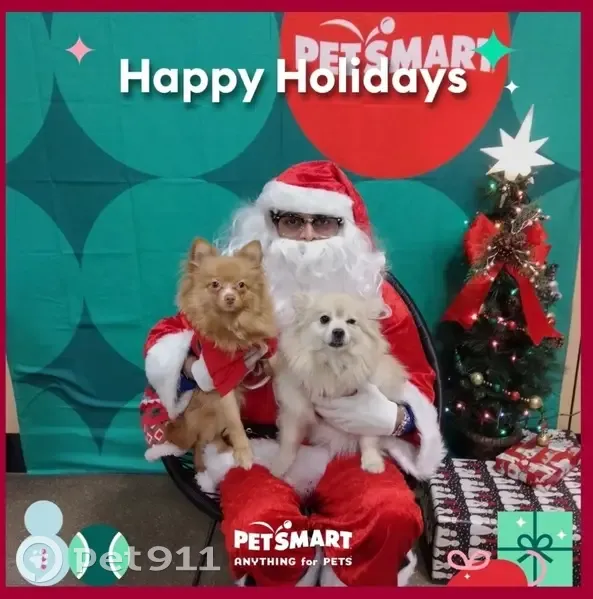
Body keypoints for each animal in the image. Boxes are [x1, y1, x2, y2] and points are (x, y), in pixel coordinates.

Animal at [165, 237, 277, 472]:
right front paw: (244, 453)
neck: (232, 327)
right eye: (215, 285)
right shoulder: (223, 382)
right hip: (211, 408)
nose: (230, 297)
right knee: (200, 443)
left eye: (241, 285)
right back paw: (205, 467)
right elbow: (235, 423)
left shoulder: (267, 354)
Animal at [270, 292, 408, 478]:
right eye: (324, 319)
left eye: (351, 321)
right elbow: (289, 441)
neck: (334, 362)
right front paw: (280, 465)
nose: (338, 331)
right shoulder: (296, 405)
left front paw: (372, 461)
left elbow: (369, 436)